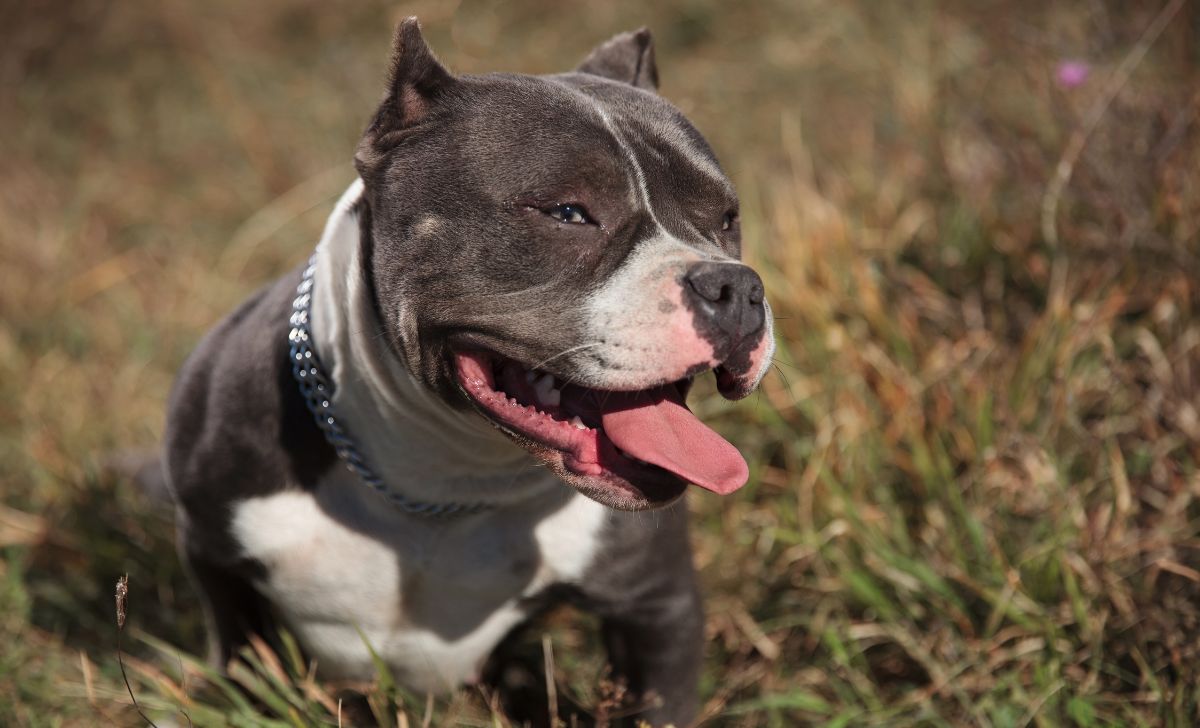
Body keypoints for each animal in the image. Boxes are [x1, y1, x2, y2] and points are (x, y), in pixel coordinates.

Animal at [164, 18, 772, 728]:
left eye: (727, 218)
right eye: (567, 213)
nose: (736, 287)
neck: (444, 482)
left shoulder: (656, 606)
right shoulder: (216, 561)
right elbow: (246, 661)